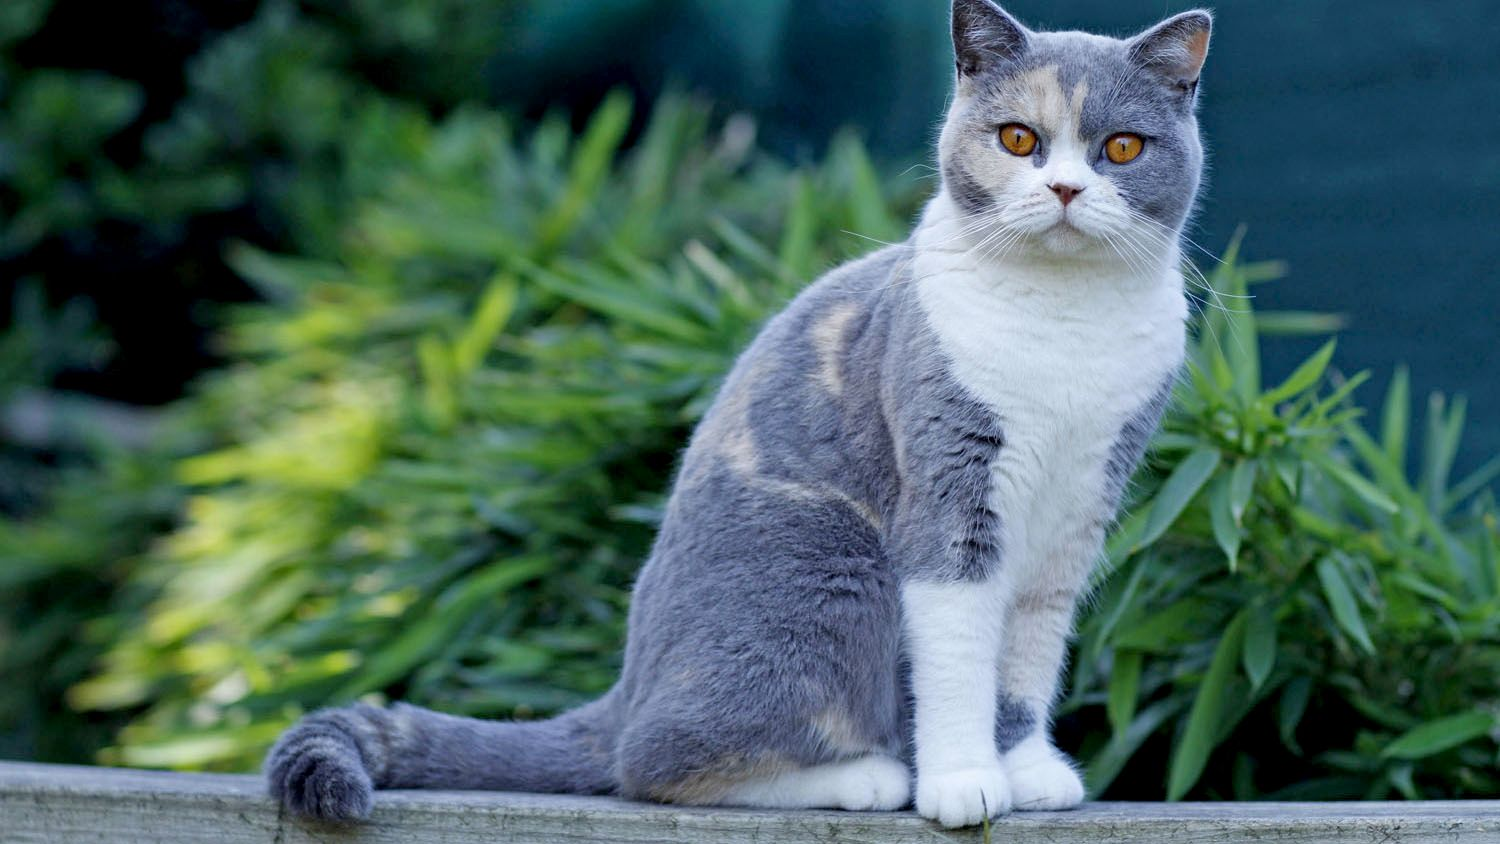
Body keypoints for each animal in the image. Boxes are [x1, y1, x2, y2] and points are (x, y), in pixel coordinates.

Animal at [267, 1, 1206, 833]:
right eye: (1018, 139)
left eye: (1122, 147)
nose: (1065, 186)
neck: (1065, 330)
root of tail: (627, 687)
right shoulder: (949, 495)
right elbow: (958, 658)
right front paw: (963, 781)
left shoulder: (1075, 517)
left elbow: (1025, 660)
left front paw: (1026, 766)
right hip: (826, 572)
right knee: (655, 762)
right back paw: (867, 778)